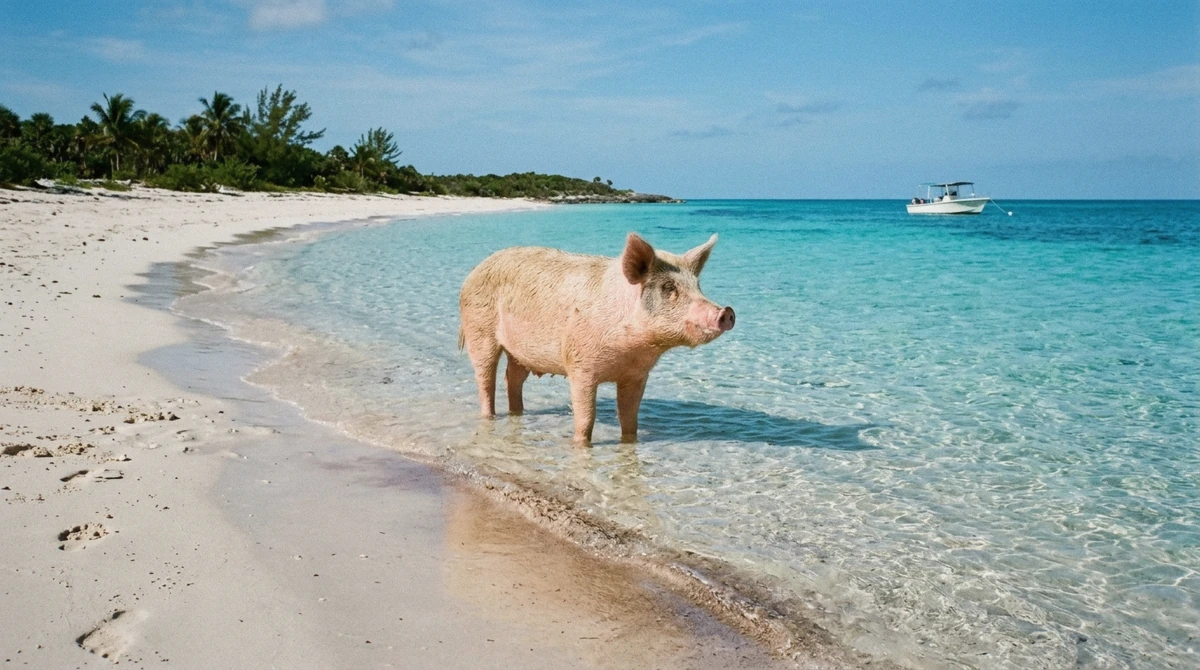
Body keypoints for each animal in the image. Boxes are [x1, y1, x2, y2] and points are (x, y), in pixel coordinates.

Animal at [458, 232, 735, 445]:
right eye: (668, 288)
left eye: (698, 286)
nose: (726, 312)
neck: (633, 349)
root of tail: (473, 271)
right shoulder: (580, 365)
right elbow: (586, 417)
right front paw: (581, 445)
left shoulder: (637, 375)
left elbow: (630, 417)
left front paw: (630, 442)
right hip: (479, 330)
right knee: (485, 378)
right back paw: (489, 417)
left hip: (520, 351)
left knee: (513, 378)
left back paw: (517, 413)